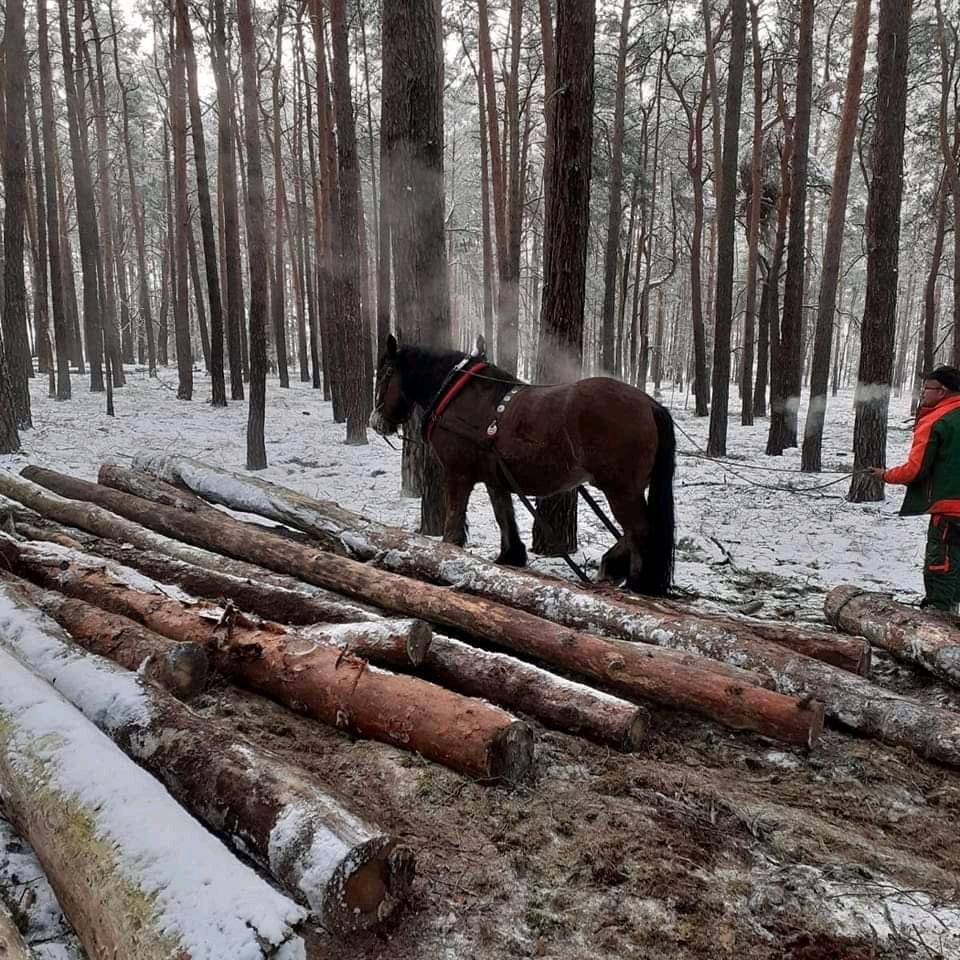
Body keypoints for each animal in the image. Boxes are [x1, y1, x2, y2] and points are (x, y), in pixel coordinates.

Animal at [368, 334, 676, 596]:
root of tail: (650, 405)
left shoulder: (458, 474)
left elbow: (454, 520)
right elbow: (503, 514)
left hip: (620, 489)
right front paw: (510, 555)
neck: (458, 395)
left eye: (383, 375)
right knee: (637, 530)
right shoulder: (495, 477)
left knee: (640, 529)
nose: (376, 421)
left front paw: (446, 554)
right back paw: (614, 566)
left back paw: (635, 582)